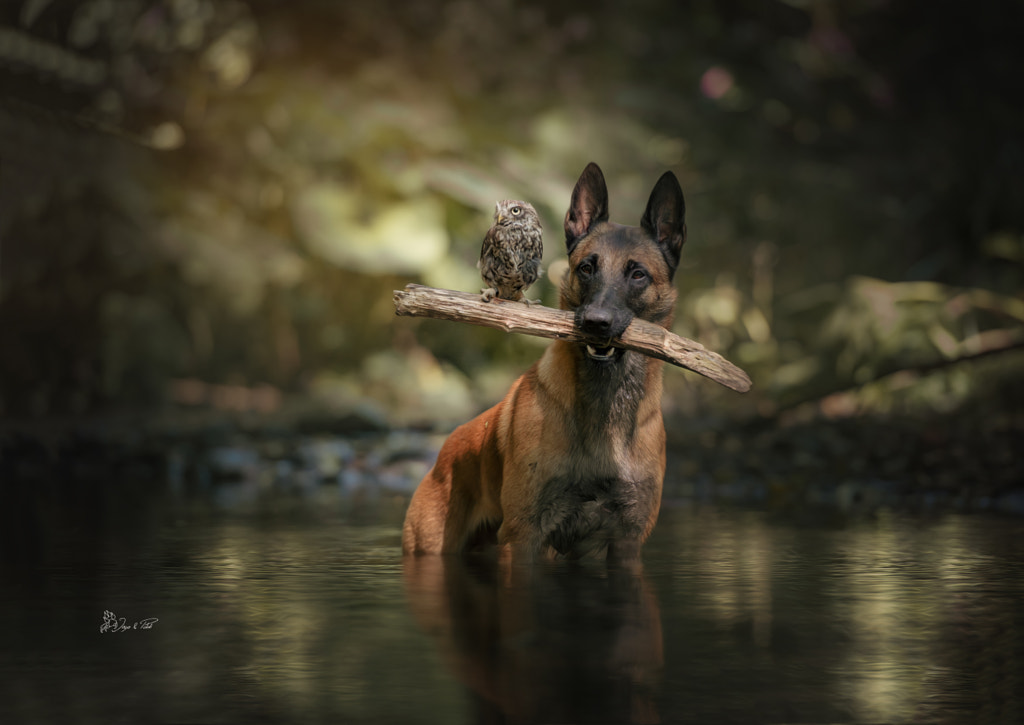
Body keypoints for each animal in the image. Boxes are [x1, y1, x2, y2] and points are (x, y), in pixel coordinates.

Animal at [401, 162, 688, 565]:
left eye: (638, 274)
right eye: (586, 268)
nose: (595, 323)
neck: (604, 407)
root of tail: (445, 449)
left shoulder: (628, 542)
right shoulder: (524, 536)